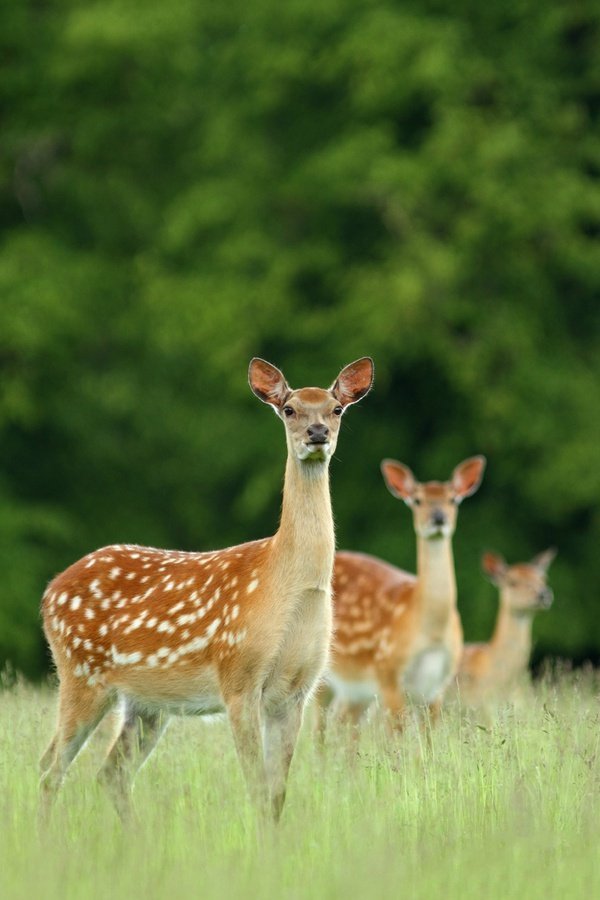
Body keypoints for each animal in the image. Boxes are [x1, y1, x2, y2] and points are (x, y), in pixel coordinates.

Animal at [39, 356, 372, 820]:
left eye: (336, 408)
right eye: (289, 409)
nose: (317, 433)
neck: (287, 585)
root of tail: (50, 591)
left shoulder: (297, 691)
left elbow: (276, 794)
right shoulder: (238, 677)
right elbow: (257, 788)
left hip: (146, 702)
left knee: (110, 772)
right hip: (81, 672)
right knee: (51, 766)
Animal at [318, 458, 488, 732]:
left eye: (453, 499)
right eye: (417, 500)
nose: (438, 518)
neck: (430, 630)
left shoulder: (437, 686)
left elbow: (430, 734)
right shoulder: (388, 672)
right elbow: (396, 732)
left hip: (356, 689)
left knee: (343, 722)